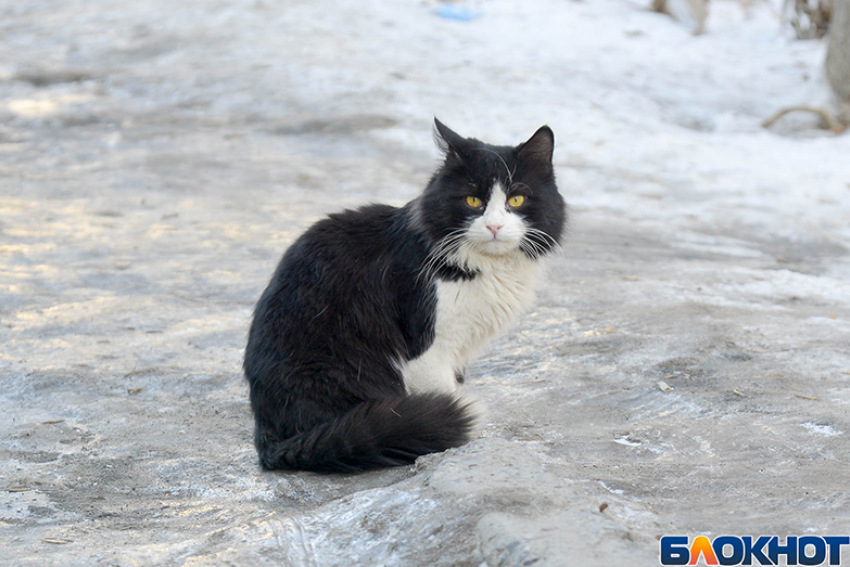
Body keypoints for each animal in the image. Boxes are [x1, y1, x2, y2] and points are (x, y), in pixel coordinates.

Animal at [242, 120, 568, 474]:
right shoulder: (428, 349)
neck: (484, 266)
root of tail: (269, 440)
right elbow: (447, 395)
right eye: (472, 201)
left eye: (517, 199)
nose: (494, 226)